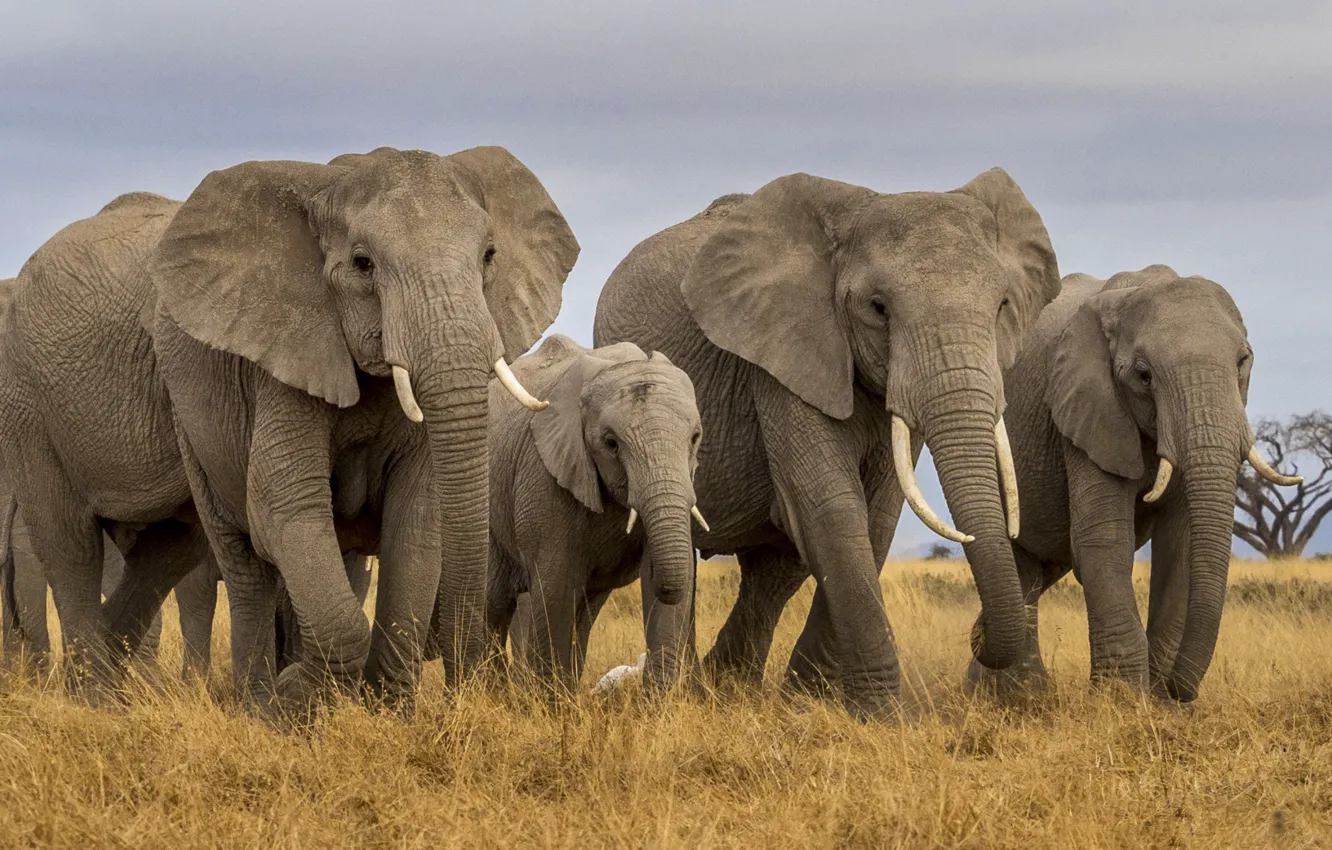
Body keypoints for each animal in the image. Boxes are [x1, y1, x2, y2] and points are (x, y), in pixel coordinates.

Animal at [150, 146, 579, 712]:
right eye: (362, 264)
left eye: (489, 255)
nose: (464, 684)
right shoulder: (286, 359)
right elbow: (283, 507)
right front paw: (293, 699)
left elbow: (417, 517)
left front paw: (389, 710)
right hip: (190, 426)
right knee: (246, 566)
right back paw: (257, 703)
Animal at [485, 335, 704, 691]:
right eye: (611, 444)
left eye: (695, 438)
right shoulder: (545, 469)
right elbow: (556, 583)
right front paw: (550, 700)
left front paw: (661, 700)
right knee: (494, 601)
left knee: (584, 611)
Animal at [594, 169, 1061, 717]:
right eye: (878, 308)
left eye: (1004, 305)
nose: (979, 632)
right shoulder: (781, 356)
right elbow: (832, 508)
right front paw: (881, 718)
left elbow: (876, 516)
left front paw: (807, 704)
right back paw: (679, 694)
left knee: (776, 571)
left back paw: (731, 687)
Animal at [965, 266, 1301, 702]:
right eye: (1143, 376)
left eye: (1244, 361)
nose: (1182, 691)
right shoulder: (1087, 408)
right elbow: (1104, 540)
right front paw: (1122, 700)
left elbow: (1181, 546)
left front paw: (1163, 704)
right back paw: (1019, 694)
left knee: (1039, 566)